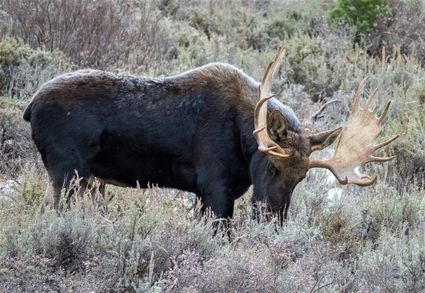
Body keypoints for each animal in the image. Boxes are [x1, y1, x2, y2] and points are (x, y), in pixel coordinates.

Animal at [23, 48, 398, 220]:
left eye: (302, 178)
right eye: (272, 166)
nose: (272, 217)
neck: (246, 145)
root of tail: (30, 107)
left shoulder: (208, 193)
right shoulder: (214, 186)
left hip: (82, 179)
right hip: (68, 173)